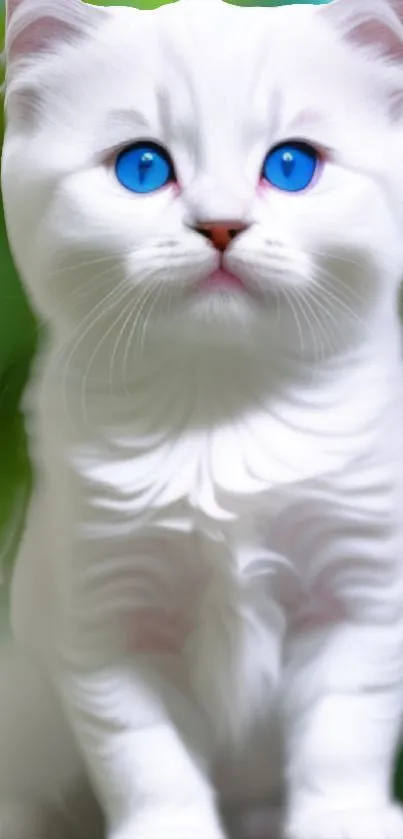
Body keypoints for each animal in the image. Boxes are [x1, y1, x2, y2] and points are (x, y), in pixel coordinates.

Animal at [2, 0, 403, 836]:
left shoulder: (358, 592)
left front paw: (344, 819)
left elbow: (342, 742)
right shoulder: (100, 614)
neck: (219, 411)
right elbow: (145, 758)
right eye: (142, 168)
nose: (221, 225)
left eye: (290, 166)